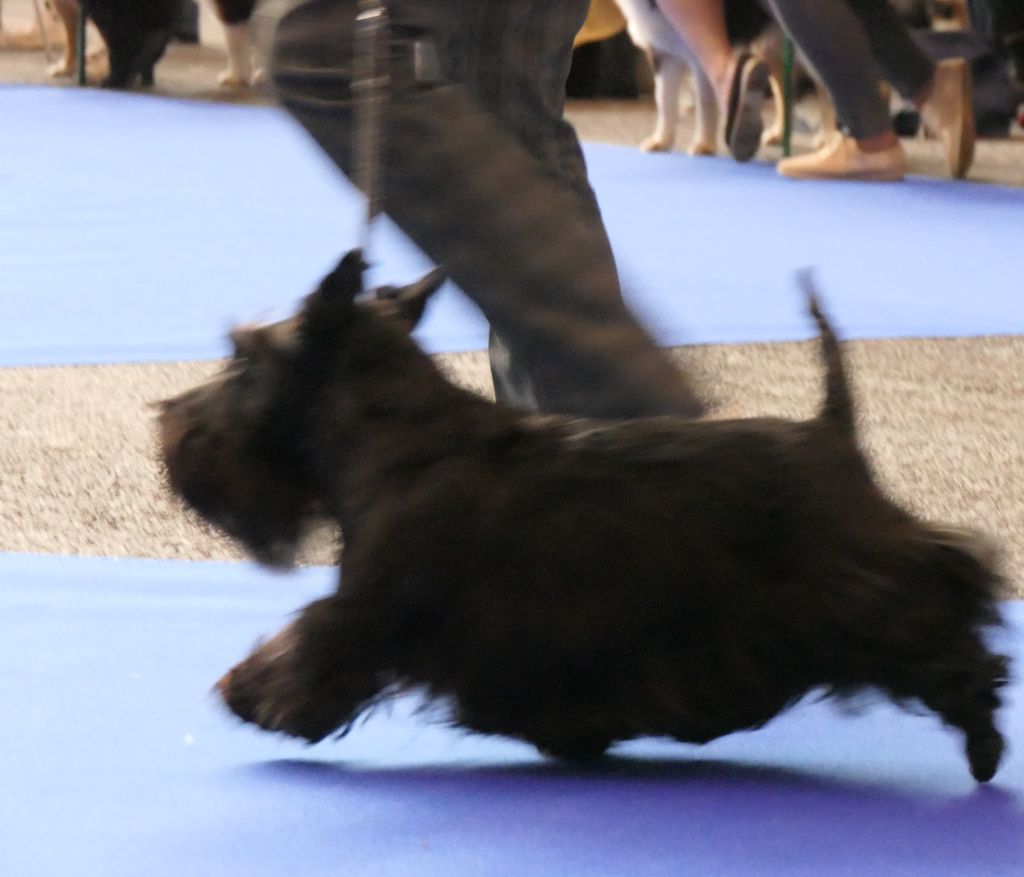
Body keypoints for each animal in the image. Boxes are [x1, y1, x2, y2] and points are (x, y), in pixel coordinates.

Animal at [158, 251, 1009, 781]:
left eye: (241, 356)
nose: (170, 423)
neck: (398, 440)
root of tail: (834, 431)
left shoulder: (366, 608)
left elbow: (305, 649)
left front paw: (249, 695)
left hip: (864, 595)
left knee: (951, 636)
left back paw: (983, 742)